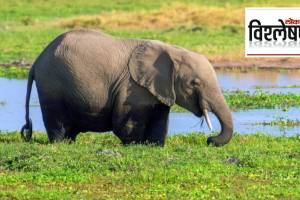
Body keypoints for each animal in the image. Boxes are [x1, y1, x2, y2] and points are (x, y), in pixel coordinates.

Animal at [19, 28, 233, 146]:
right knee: (57, 120)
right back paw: (62, 143)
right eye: (194, 83)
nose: (210, 140)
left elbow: (160, 121)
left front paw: (152, 146)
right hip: (52, 85)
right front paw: (135, 145)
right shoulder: (132, 86)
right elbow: (124, 123)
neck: (172, 50)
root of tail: (36, 62)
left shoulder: (158, 90)